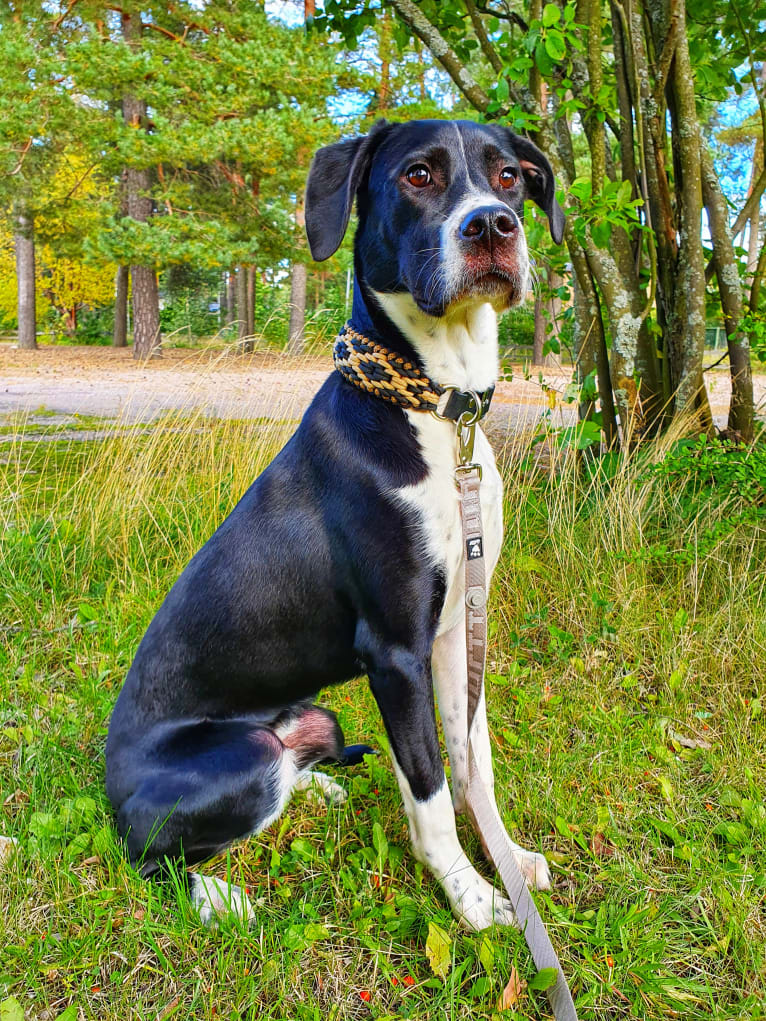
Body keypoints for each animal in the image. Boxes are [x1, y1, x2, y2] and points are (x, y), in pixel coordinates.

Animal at [105, 119, 567, 935]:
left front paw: (508, 861)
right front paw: (473, 897)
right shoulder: (395, 652)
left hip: (311, 709)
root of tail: (105, 789)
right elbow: (432, 791)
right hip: (238, 757)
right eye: (418, 175)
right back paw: (220, 895)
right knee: (152, 855)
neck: (436, 408)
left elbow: (473, 763)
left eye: (509, 175)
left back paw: (314, 785)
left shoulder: (455, 631)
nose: (491, 226)